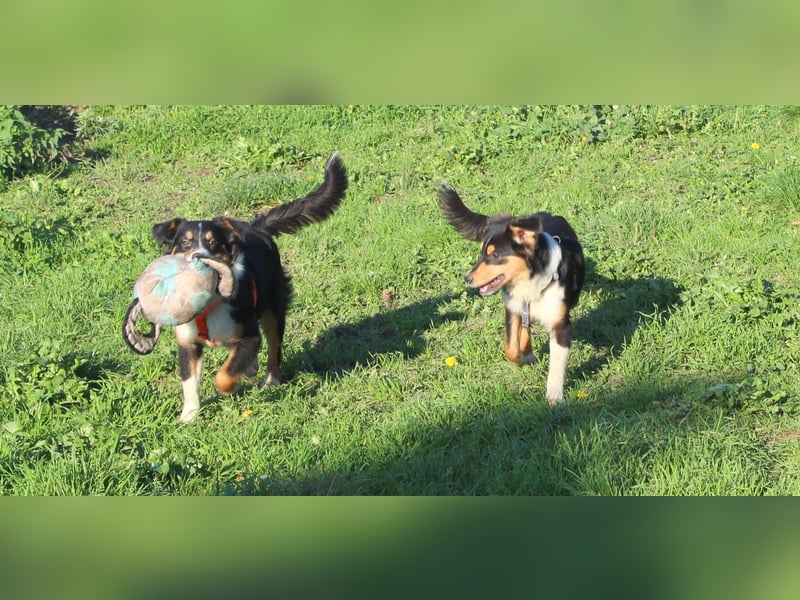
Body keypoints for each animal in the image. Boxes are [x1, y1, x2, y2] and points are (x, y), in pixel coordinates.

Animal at [125, 152, 346, 422]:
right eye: (185, 243)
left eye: (213, 243)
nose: (198, 257)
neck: (208, 309)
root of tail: (258, 228)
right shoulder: (187, 343)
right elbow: (189, 382)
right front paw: (188, 416)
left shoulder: (249, 335)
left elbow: (224, 375)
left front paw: (232, 386)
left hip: (273, 309)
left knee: (273, 348)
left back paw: (270, 380)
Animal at [440, 183, 584, 406]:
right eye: (481, 253)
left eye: (494, 255)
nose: (467, 278)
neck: (532, 283)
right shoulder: (513, 308)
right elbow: (510, 348)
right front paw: (523, 358)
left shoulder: (561, 324)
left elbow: (557, 365)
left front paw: (554, 396)